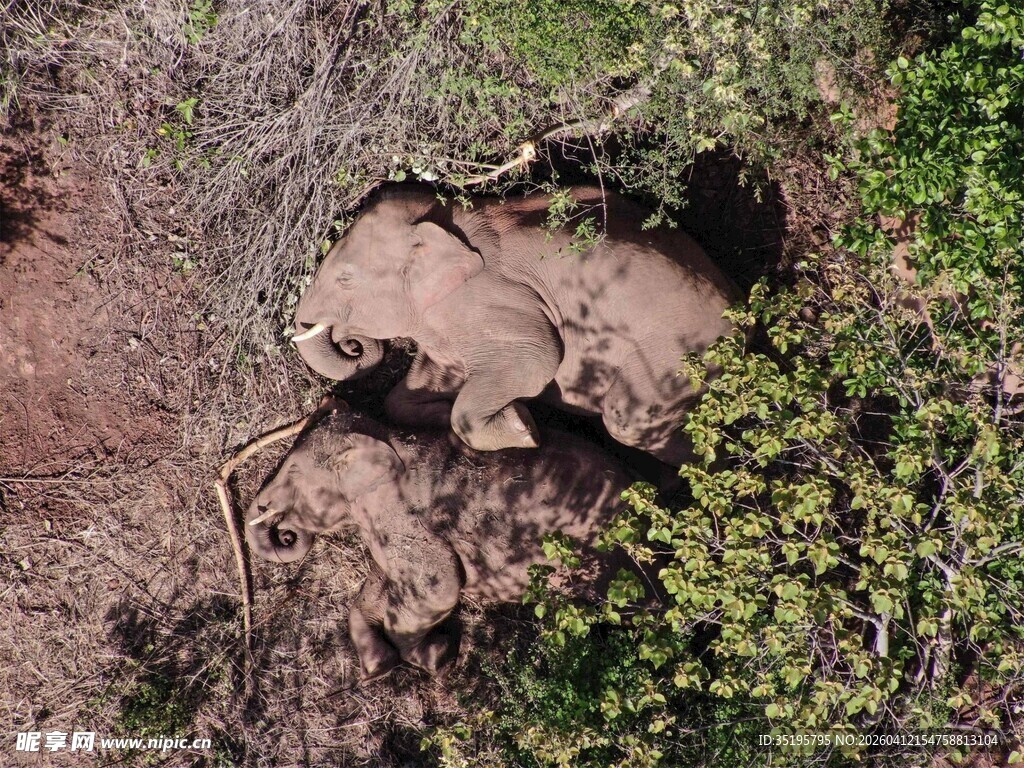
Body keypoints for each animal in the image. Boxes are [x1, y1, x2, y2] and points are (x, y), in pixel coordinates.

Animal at [245, 399, 643, 681]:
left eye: (292, 472)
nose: (284, 530)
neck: (383, 436)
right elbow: (382, 583)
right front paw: (378, 668)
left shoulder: (404, 515)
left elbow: (441, 586)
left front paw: (437, 657)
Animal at [292, 185, 739, 466]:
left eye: (345, 279)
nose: (352, 343)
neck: (444, 221)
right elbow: (407, 395)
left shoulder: (486, 300)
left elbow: (538, 359)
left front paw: (524, 426)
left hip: (676, 353)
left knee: (628, 421)